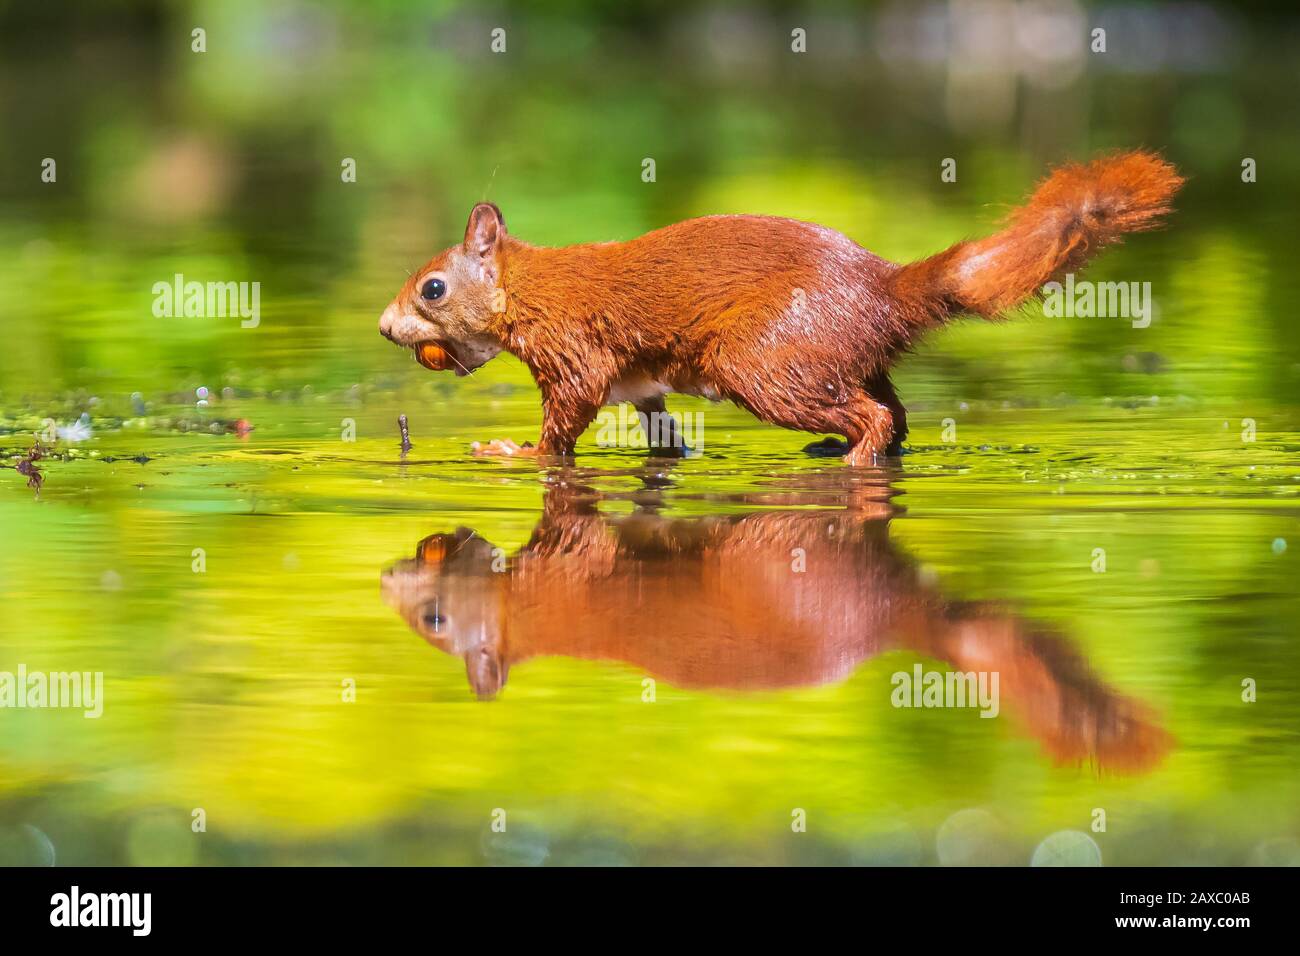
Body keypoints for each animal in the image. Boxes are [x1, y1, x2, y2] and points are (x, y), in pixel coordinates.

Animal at [379, 151, 1183, 464]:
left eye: (432, 287)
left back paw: (847, 457)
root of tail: (884, 286)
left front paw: (510, 451)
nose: (386, 327)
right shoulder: (642, 383)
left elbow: (564, 424)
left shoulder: (575, 350)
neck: (535, 287)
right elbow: (663, 436)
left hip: (764, 362)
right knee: (897, 415)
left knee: (875, 417)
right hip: (849, 359)